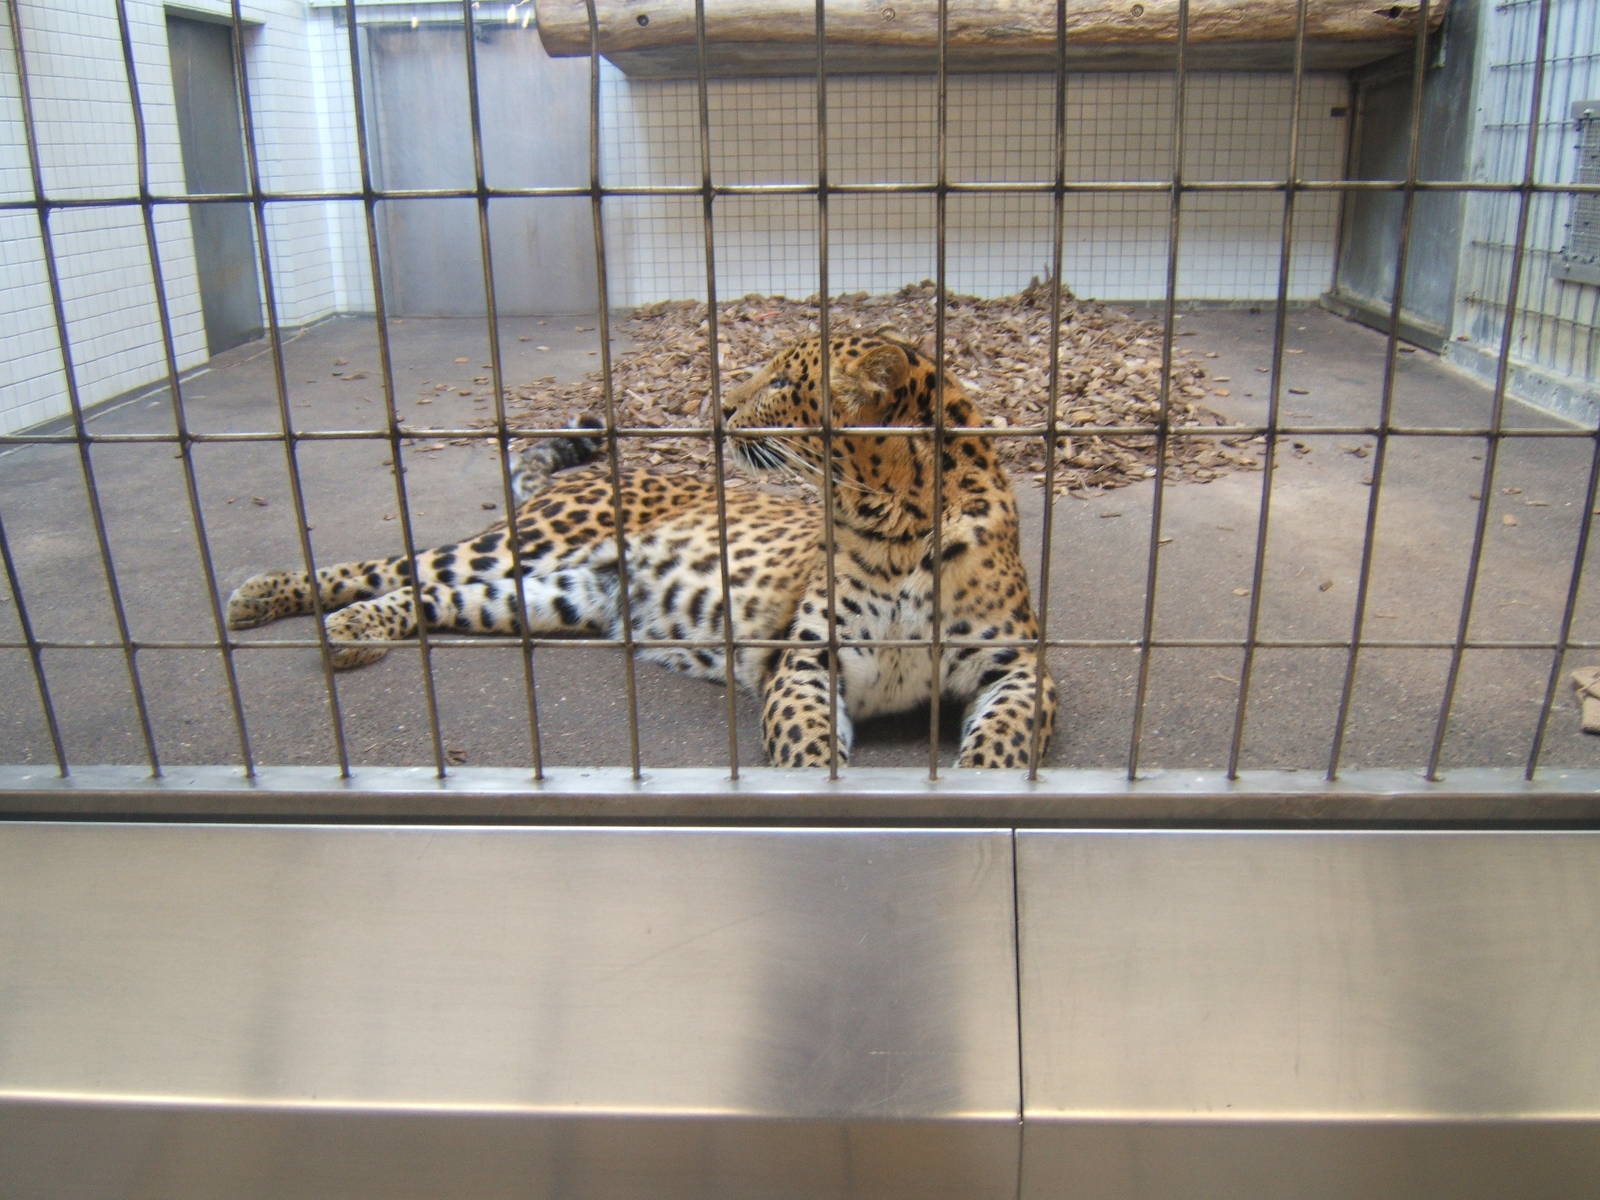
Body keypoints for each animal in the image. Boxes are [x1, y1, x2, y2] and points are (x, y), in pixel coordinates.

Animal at [225, 331, 1057, 768]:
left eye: (782, 383)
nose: (715, 407)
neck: (892, 528)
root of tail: (598, 471)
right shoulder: (805, 659)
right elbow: (806, 746)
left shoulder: (1018, 667)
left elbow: (1003, 746)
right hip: (526, 545)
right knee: (388, 566)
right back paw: (270, 598)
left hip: (548, 597)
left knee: (431, 595)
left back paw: (352, 633)